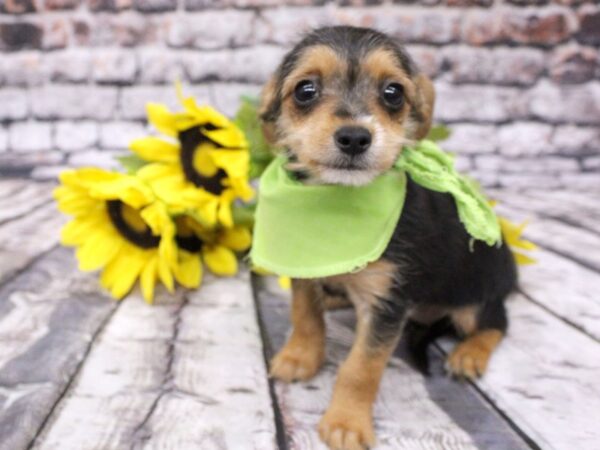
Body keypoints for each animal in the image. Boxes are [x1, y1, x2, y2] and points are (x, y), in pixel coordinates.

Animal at [260, 26, 516, 448]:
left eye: (393, 92)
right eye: (305, 90)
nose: (353, 138)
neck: (337, 201)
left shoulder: (388, 302)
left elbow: (361, 367)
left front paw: (346, 423)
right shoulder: (305, 270)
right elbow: (305, 315)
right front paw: (299, 358)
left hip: (476, 295)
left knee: (496, 323)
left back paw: (469, 355)